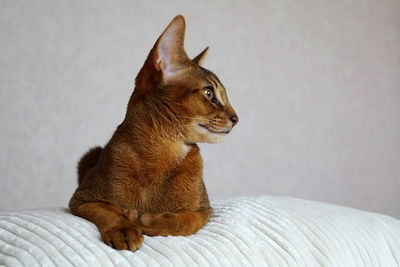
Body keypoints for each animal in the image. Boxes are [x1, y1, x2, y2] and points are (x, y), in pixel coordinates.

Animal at [69, 15, 238, 252]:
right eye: (208, 93)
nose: (236, 118)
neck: (163, 151)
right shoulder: (81, 199)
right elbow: (108, 211)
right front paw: (124, 228)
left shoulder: (205, 210)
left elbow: (186, 221)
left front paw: (149, 220)